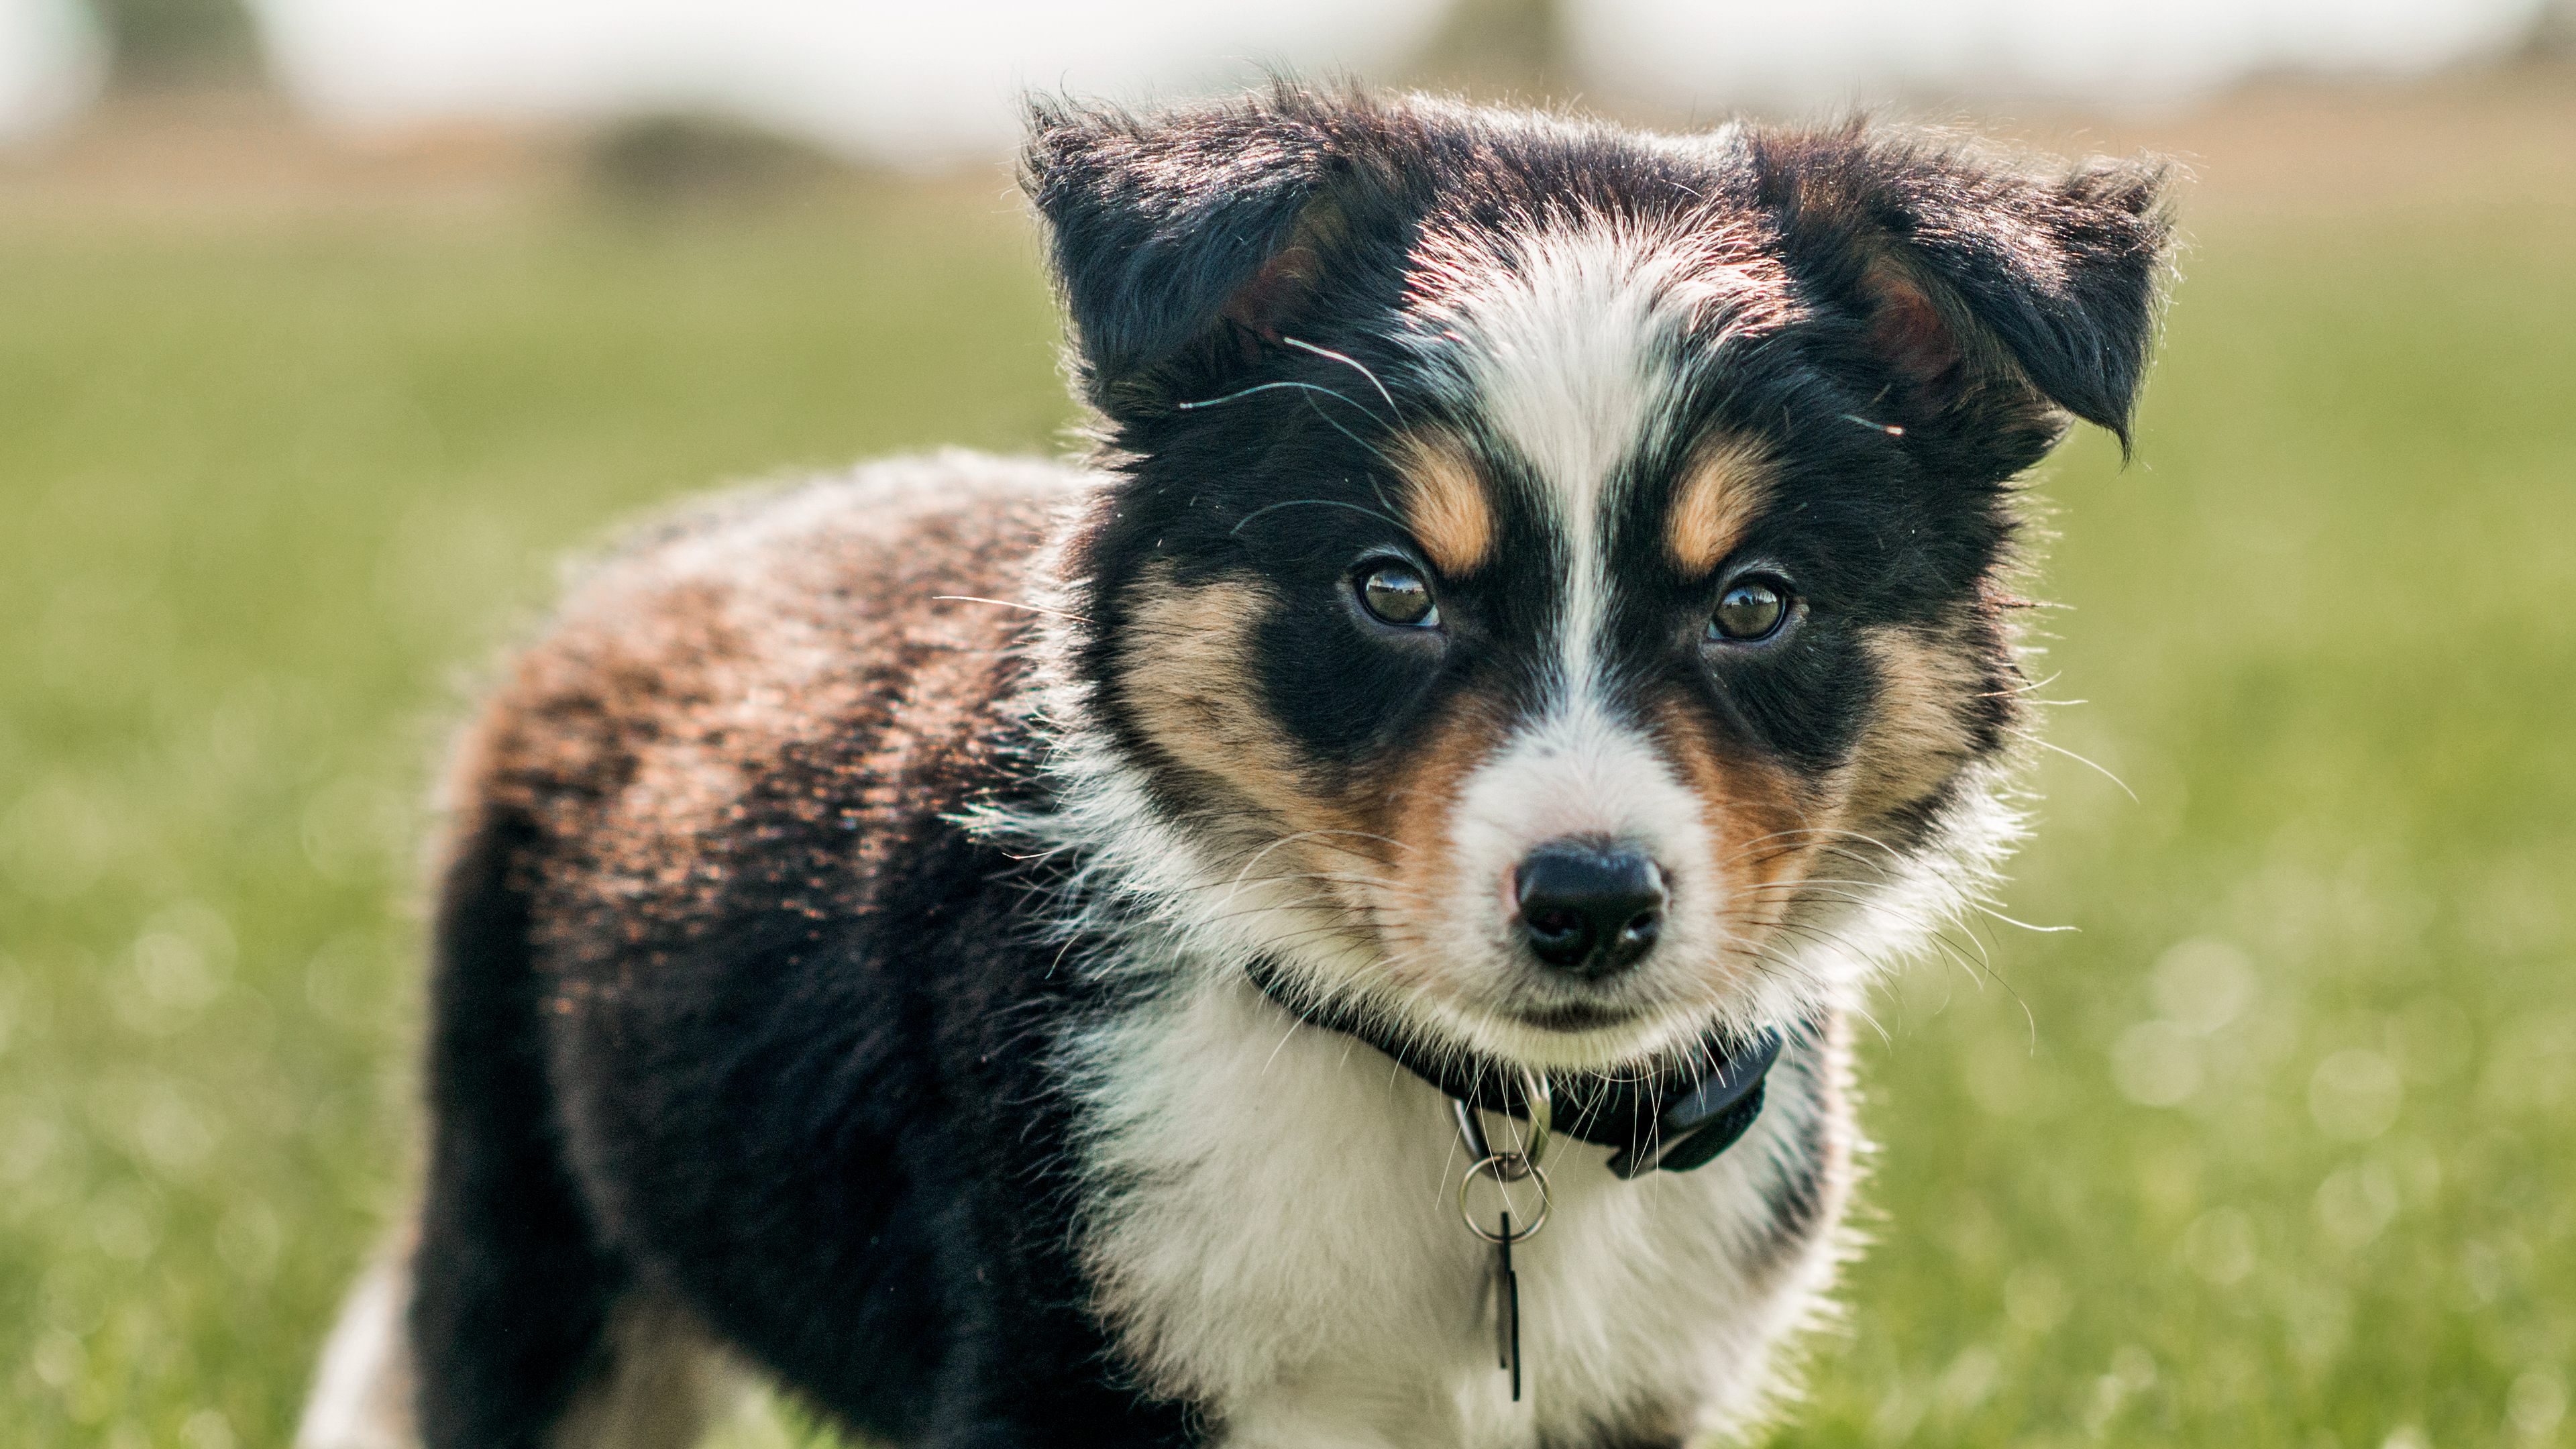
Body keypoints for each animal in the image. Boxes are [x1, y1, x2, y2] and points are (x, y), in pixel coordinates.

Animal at [296, 84, 2174, 1444]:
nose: (1587, 904)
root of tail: (673, 544)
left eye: (1755, 603)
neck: (1482, 1116)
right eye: (1392, 588)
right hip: (531, 1230)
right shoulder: (1064, 1361)